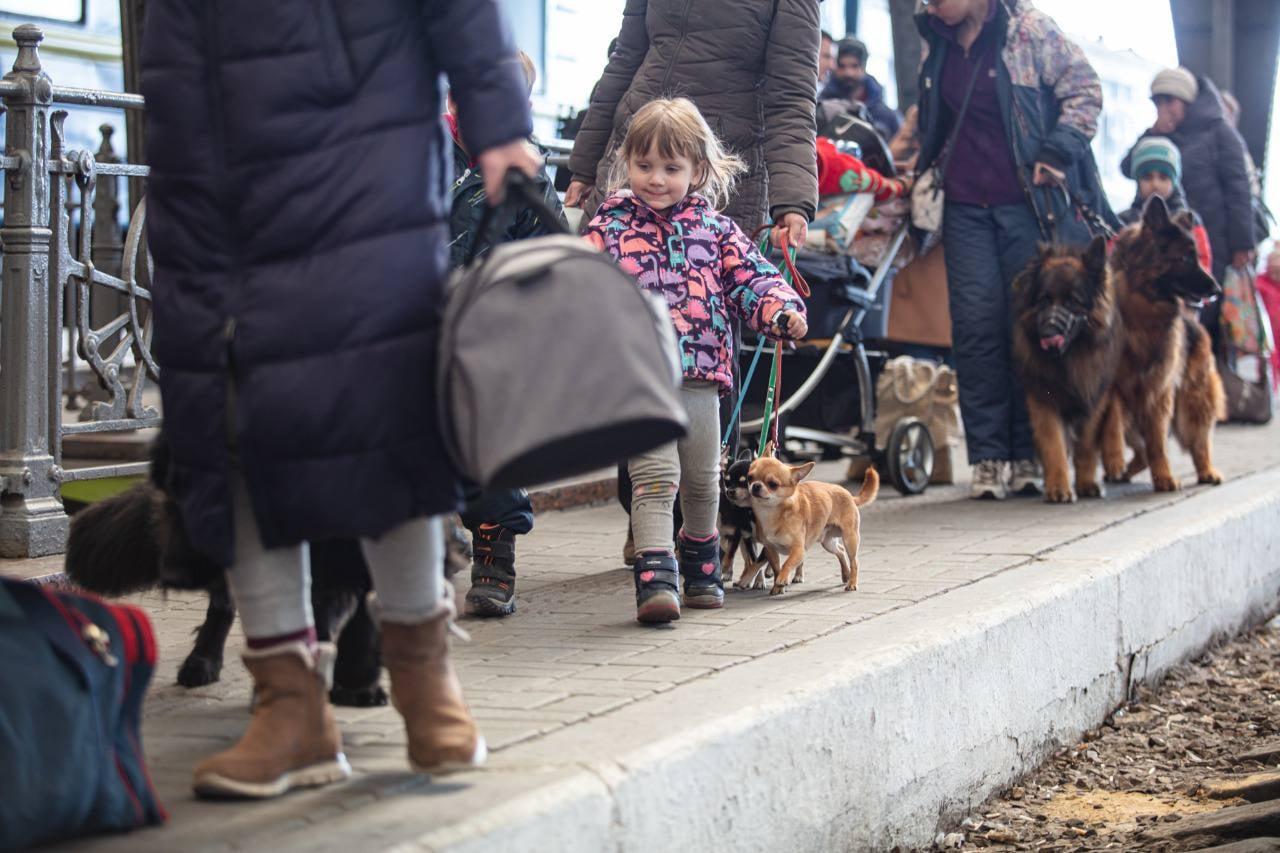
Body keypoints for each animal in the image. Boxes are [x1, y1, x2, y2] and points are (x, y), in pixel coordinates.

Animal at [742, 455, 880, 594]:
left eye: (772, 484)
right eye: (749, 478)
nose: (756, 485)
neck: (772, 513)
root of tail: (850, 495)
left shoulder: (798, 550)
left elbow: (787, 564)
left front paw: (782, 579)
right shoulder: (771, 550)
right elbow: (777, 568)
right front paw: (777, 587)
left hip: (849, 539)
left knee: (854, 561)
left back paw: (852, 583)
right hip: (828, 542)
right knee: (840, 550)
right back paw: (846, 575)